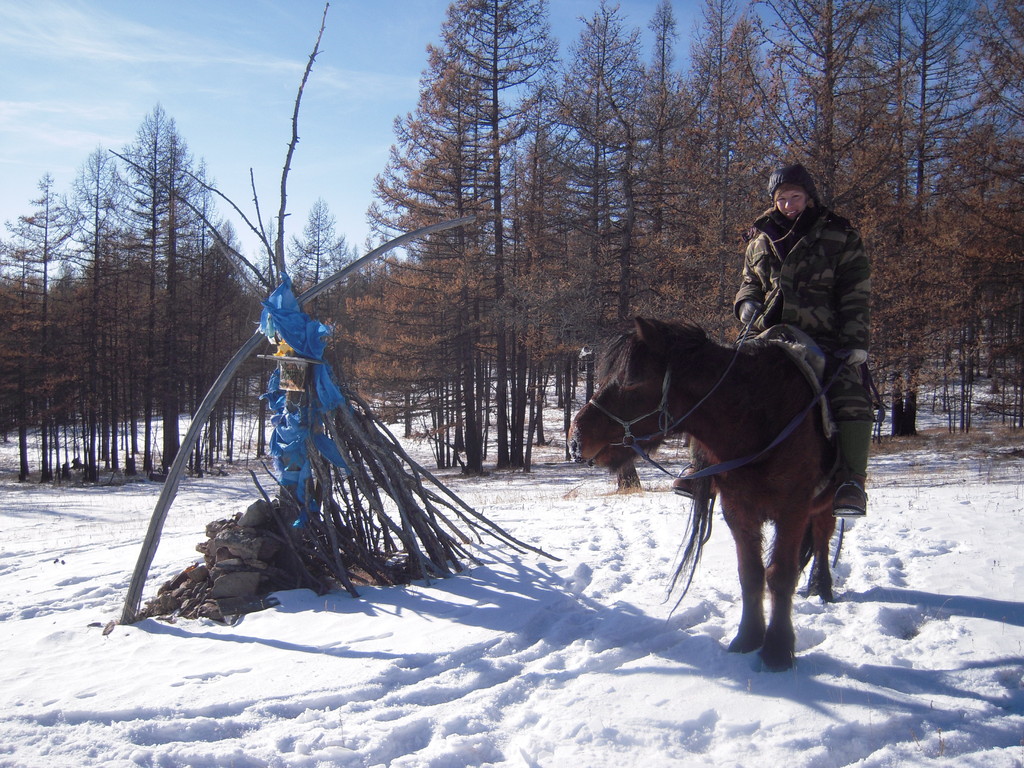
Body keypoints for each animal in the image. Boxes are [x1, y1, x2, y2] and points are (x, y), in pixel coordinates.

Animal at [569, 319, 839, 671]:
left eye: (632, 380)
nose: (576, 439)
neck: (759, 419)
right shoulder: (737, 510)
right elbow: (750, 574)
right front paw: (748, 638)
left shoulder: (792, 510)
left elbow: (780, 575)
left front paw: (778, 650)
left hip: (827, 503)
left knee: (822, 537)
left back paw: (822, 586)